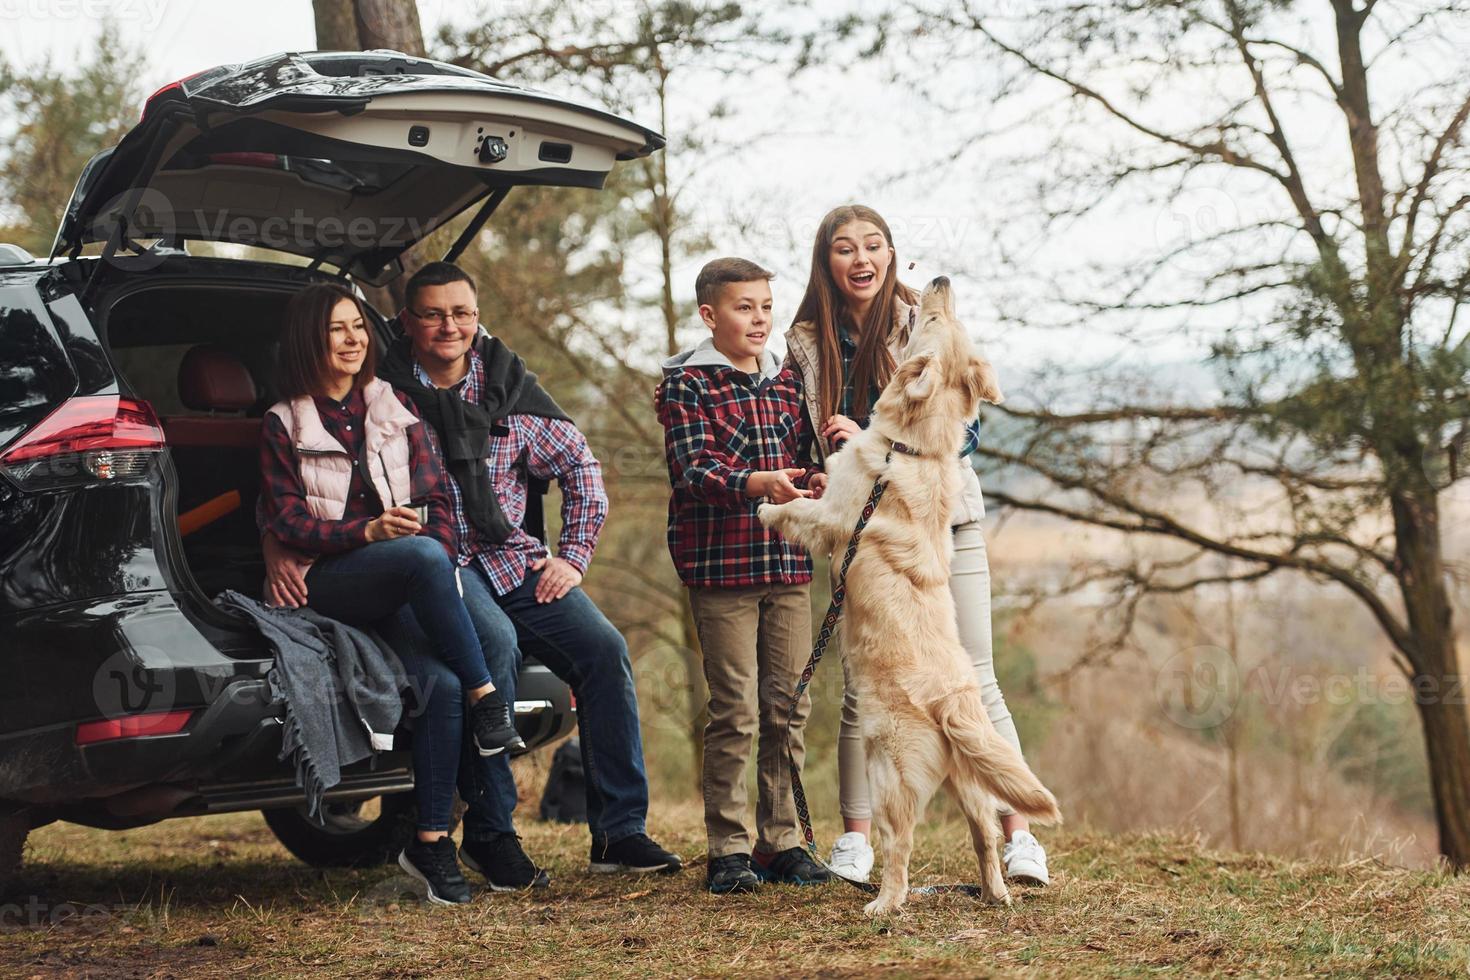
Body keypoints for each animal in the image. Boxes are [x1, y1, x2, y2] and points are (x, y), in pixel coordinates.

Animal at [764, 277, 1064, 922]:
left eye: (926, 321)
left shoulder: (833, 516)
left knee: (900, 846)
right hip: (970, 784)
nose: (941, 281)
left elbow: (802, 510)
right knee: (983, 836)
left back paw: (883, 904)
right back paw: (995, 892)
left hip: (891, 776)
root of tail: (952, 704)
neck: (912, 446)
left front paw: (767, 506)